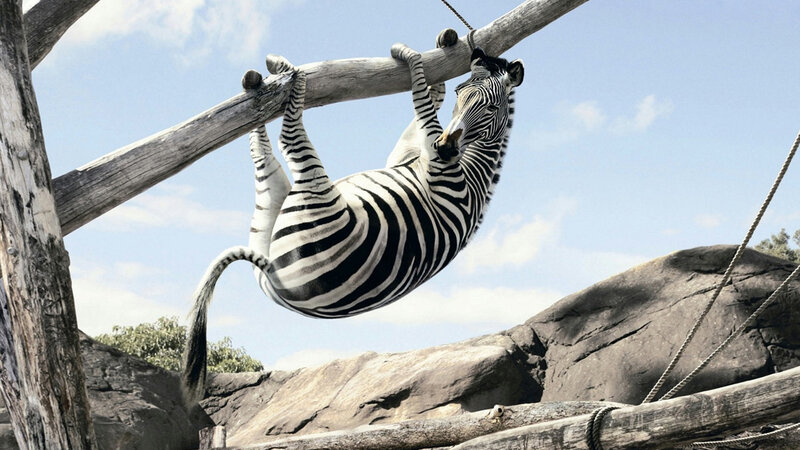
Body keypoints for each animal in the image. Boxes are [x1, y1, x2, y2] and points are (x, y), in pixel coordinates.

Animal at [182, 29, 524, 402]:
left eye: (491, 107)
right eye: (462, 93)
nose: (447, 147)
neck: (473, 170)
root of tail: (274, 276)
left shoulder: (436, 165)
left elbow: (421, 102)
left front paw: (407, 54)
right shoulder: (406, 154)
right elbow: (428, 101)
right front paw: (435, 53)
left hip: (312, 194)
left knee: (289, 136)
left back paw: (291, 74)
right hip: (267, 212)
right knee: (262, 151)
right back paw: (259, 86)